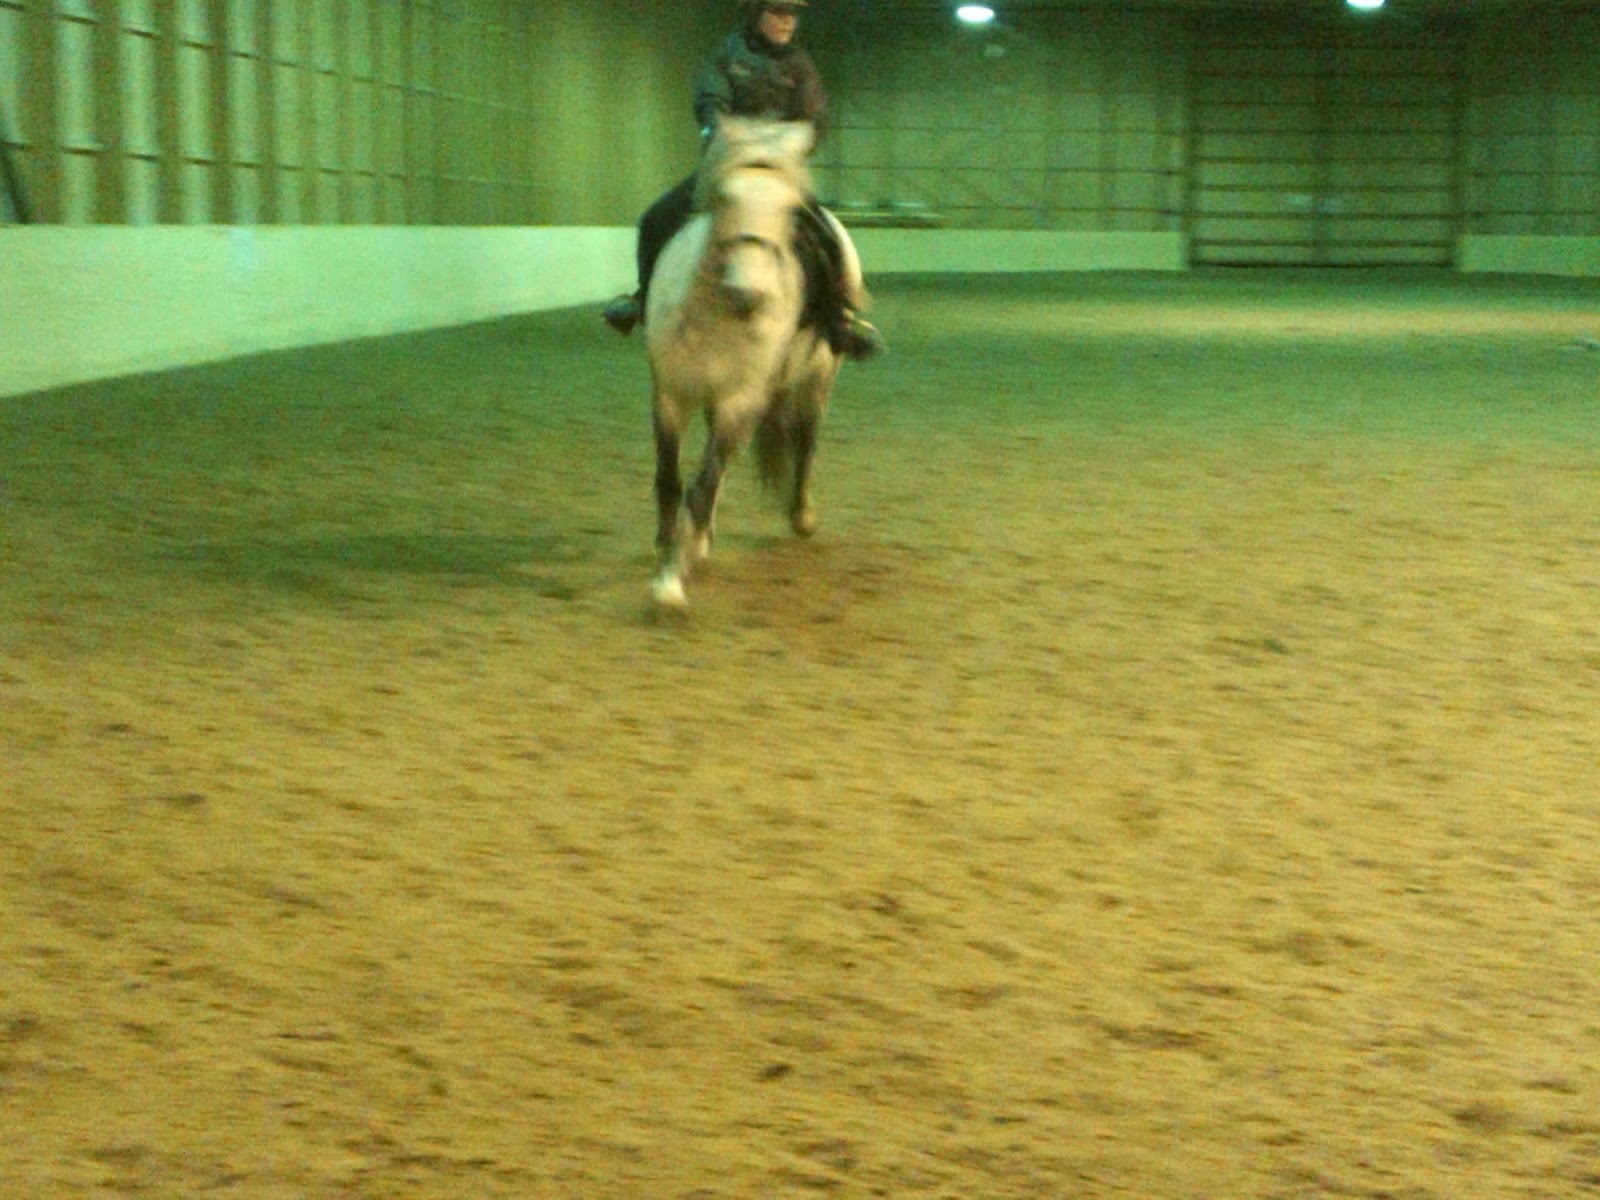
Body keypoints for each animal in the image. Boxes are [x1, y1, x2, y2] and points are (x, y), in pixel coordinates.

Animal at [643, 117, 865, 609]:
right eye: (725, 197)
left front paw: (671, 581)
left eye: (789, 210)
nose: (747, 295)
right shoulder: (670, 393)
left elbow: (703, 484)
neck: (715, 316)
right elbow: (671, 478)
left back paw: (801, 516)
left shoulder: (740, 399)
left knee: (805, 442)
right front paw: (670, 549)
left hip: (817, 379)